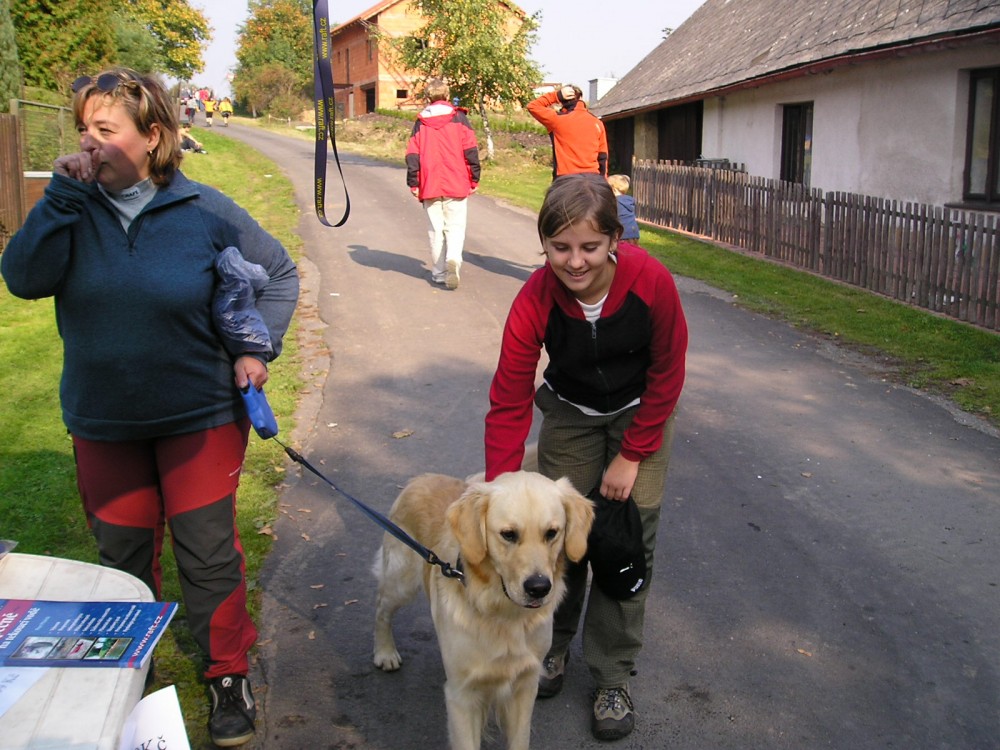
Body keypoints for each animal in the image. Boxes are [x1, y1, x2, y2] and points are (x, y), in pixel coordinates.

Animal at [373, 470, 594, 750]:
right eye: (508, 534)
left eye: (552, 533)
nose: (539, 588)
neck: (502, 613)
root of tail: (421, 477)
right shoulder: (461, 696)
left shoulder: (525, 686)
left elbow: (520, 740)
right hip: (401, 581)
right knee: (381, 608)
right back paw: (385, 653)